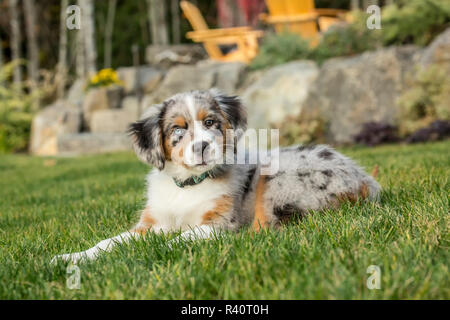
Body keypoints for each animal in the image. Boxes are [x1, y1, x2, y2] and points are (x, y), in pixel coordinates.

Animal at [50, 89, 380, 264]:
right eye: (177, 129)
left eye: (210, 122)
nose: (202, 146)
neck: (187, 185)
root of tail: (367, 180)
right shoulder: (151, 224)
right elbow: (109, 242)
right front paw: (70, 257)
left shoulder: (219, 223)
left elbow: (180, 238)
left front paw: (150, 253)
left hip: (278, 177)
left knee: (266, 227)